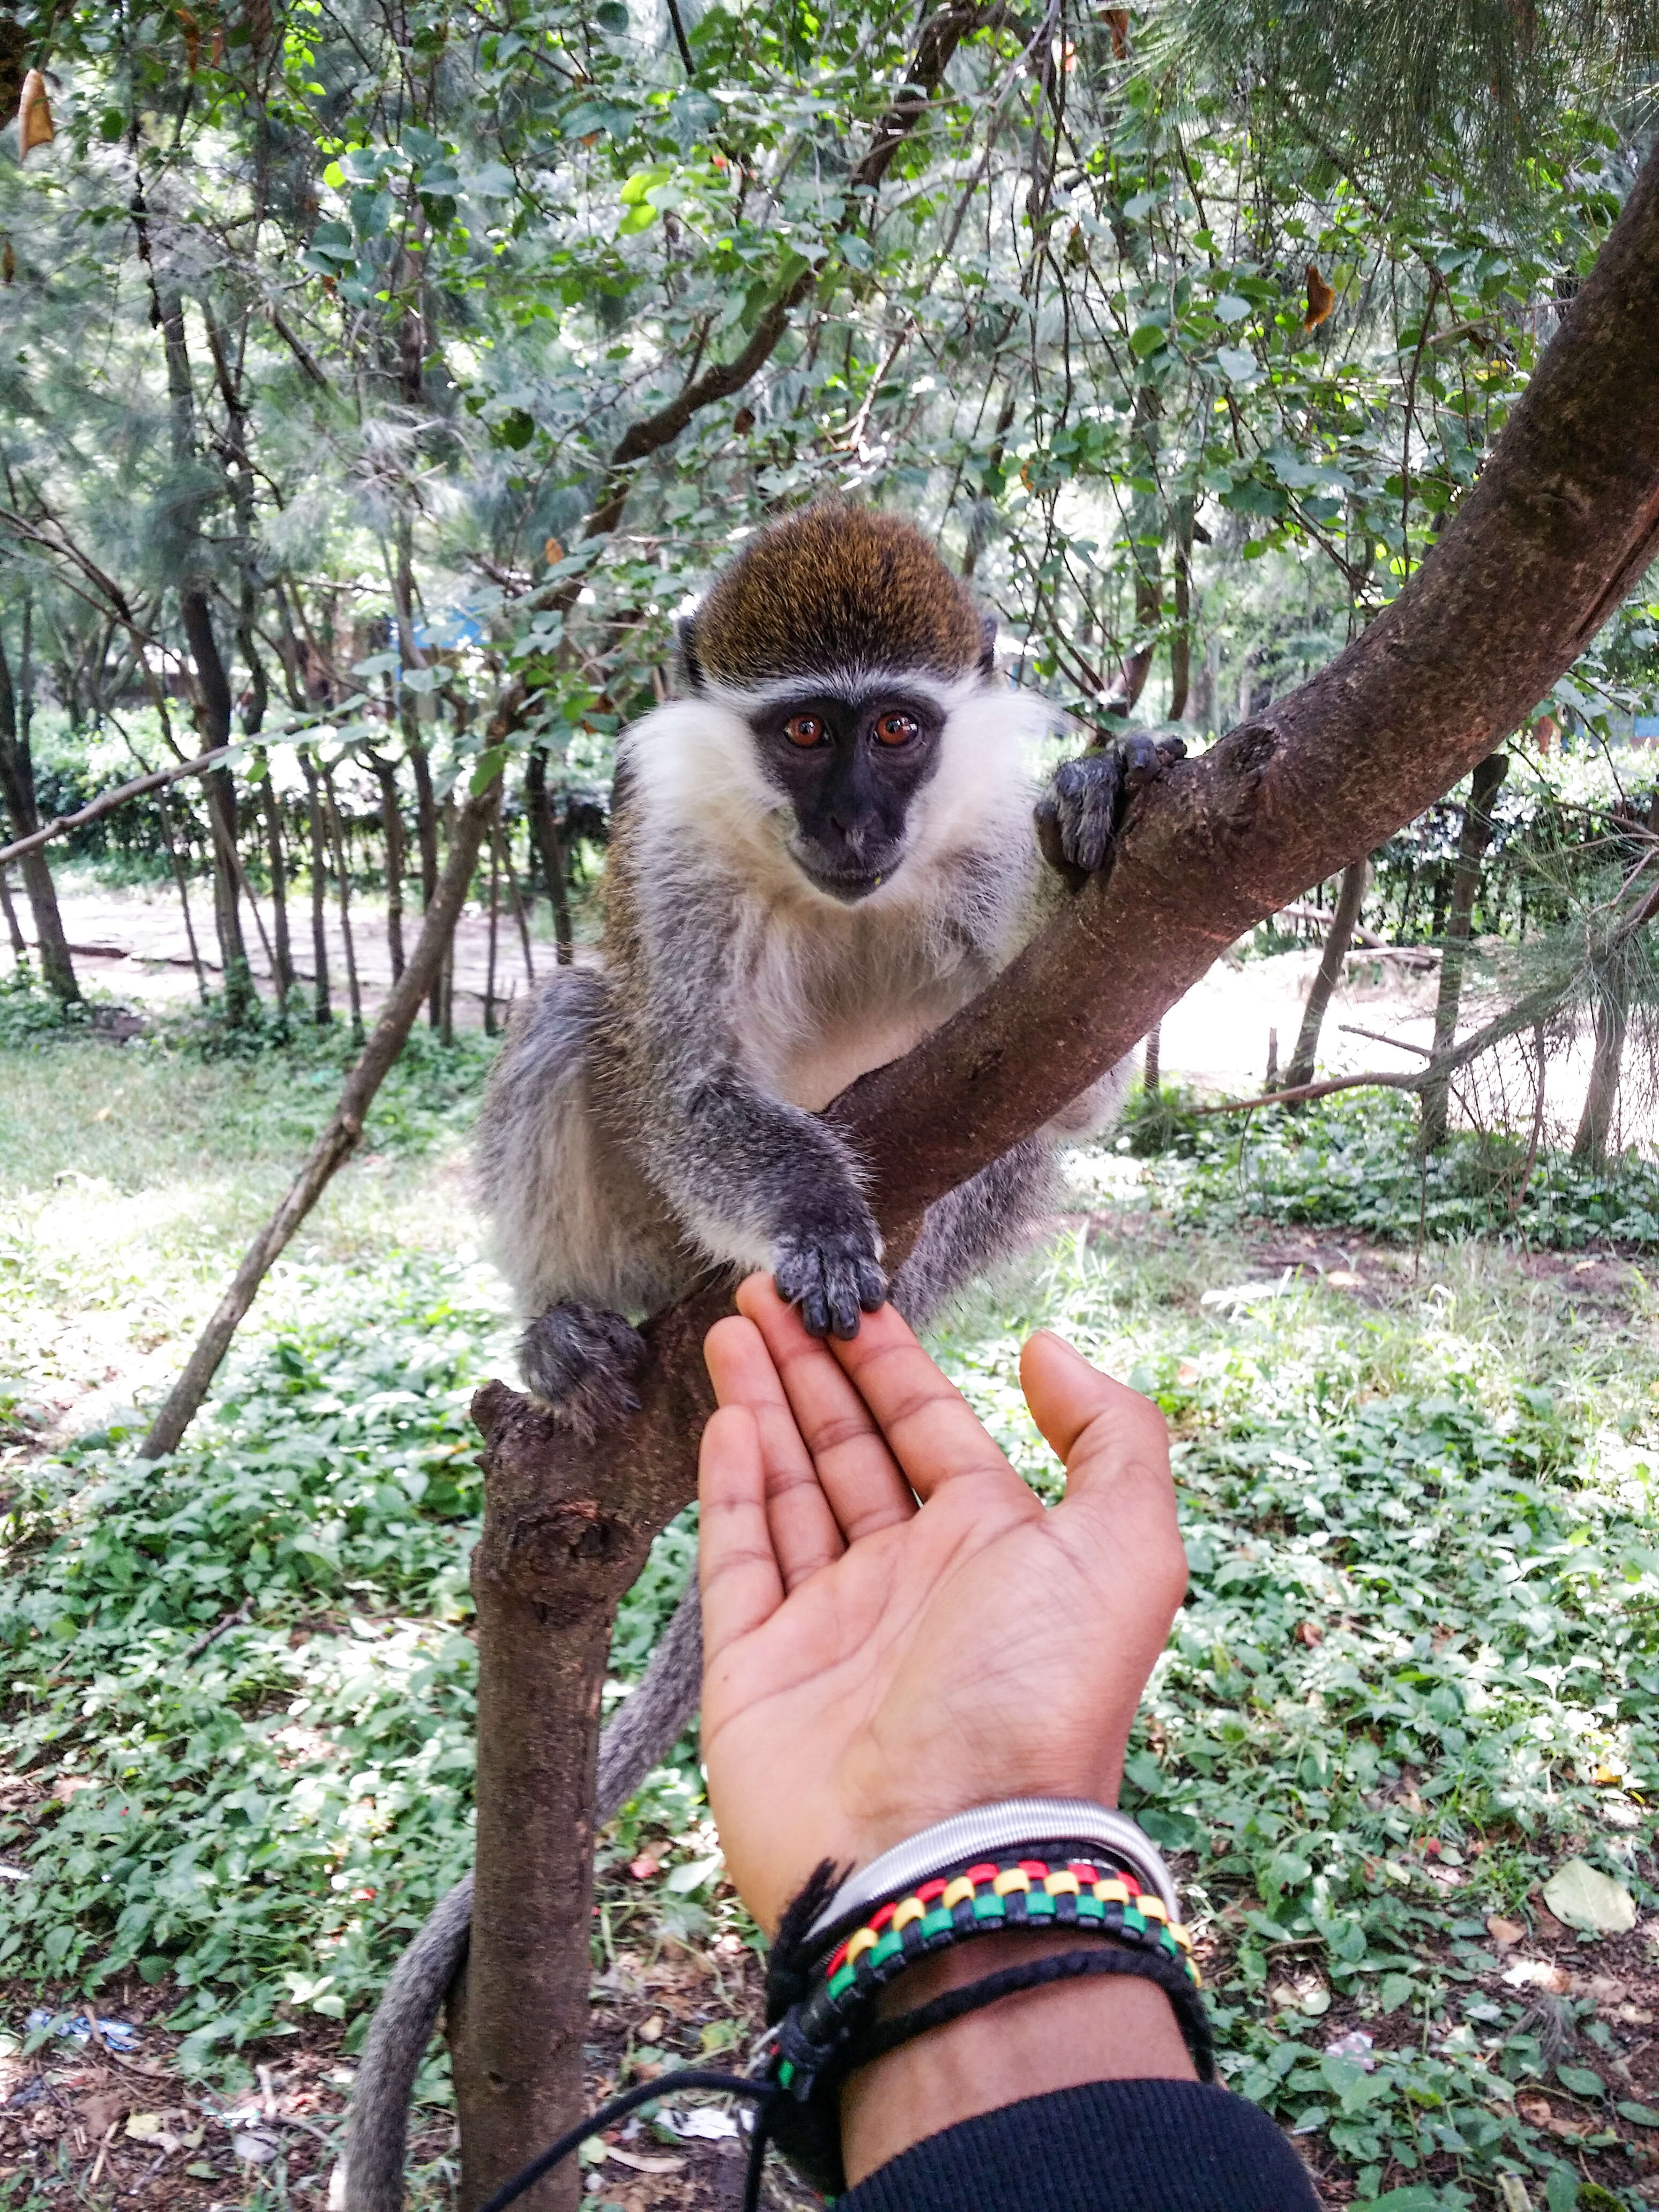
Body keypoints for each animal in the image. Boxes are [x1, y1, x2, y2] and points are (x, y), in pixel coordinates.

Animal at [345, 502, 1185, 2212]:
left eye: (895, 730)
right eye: (802, 732)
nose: (857, 820)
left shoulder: (981, 859)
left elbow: (1070, 1091)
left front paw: (1098, 807)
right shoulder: (667, 851)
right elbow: (677, 1084)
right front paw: (807, 1216)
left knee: (1004, 1152)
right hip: (656, 1242)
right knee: (574, 1010)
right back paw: (574, 1323)